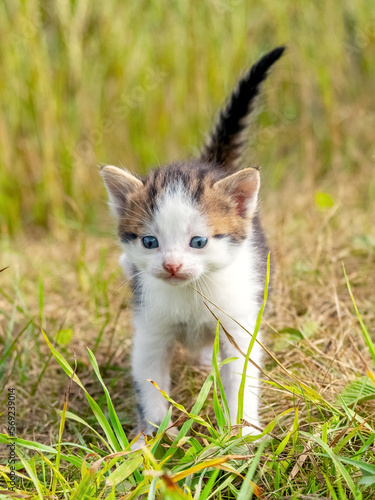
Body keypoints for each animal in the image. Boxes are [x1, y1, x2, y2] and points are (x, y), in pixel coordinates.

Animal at [100, 46, 284, 438]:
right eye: (150, 241)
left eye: (198, 241)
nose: (172, 265)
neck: (191, 294)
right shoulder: (150, 325)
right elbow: (149, 377)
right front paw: (154, 437)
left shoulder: (237, 321)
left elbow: (241, 375)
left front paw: (243, 433)